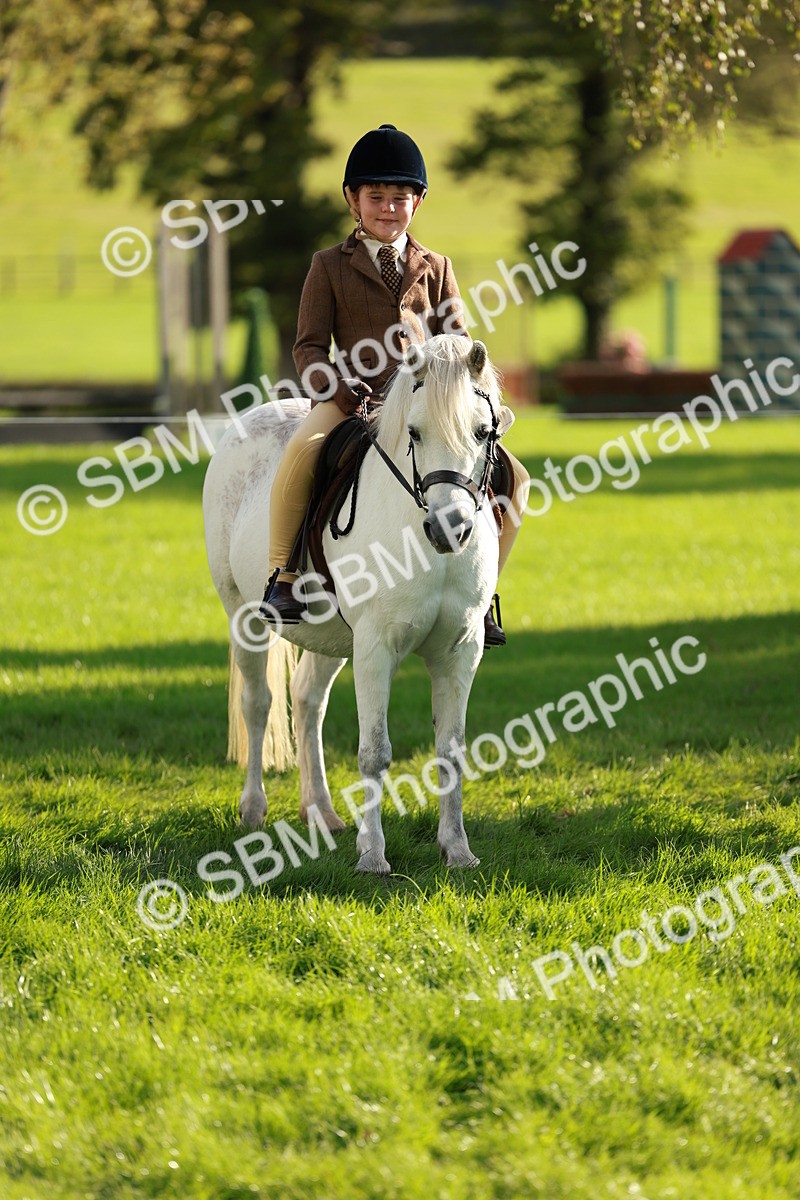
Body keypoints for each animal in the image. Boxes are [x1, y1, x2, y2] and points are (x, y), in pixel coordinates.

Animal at [203, 334, 512, 874]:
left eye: (481, 431)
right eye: (414, 431)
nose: (448, 529)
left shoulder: (460, 650)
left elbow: (450, 751)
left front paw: (457, 849)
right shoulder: (375, 647)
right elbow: (374, 752)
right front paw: (372, 855)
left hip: (330, 636)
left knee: (307, 702)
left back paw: (321, 812)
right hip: (244, 618)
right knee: (258, 704)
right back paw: (254, 810)